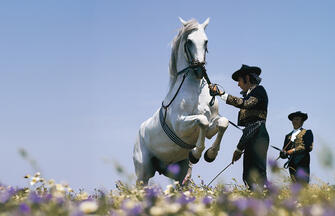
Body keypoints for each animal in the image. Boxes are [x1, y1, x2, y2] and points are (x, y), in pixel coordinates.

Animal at [133, 17, 230, 185]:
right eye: (189, 41)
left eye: (206, 41)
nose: (199, 70)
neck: (195, 91)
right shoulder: (180, 125)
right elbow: (202, 120)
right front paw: (196, 153)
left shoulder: (212, 126)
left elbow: (222, 123)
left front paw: (210, 154)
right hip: (143, 173)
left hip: (179, 172)